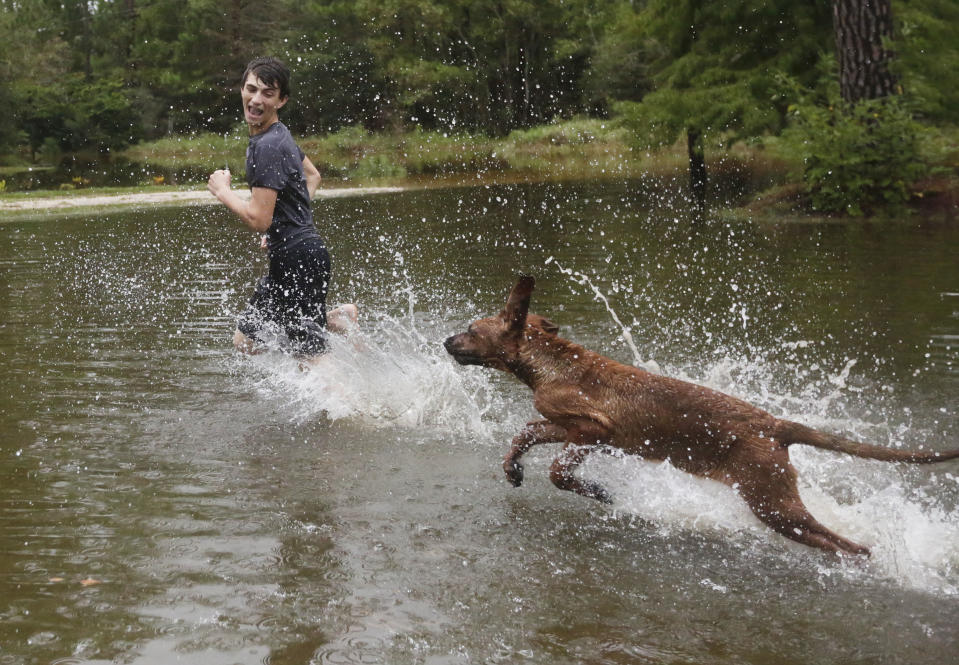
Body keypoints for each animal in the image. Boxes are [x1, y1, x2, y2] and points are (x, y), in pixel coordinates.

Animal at [446, 274, 956, 556]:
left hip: (772, 502)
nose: (446, 341)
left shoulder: (594, 429)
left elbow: (558, 469)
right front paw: (513, 470)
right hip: (774, 502)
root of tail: (774, 426)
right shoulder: (562, 424)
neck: (549, 360)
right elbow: (524, 434)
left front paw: (596, 491)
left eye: (471, 329)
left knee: (845, 542)